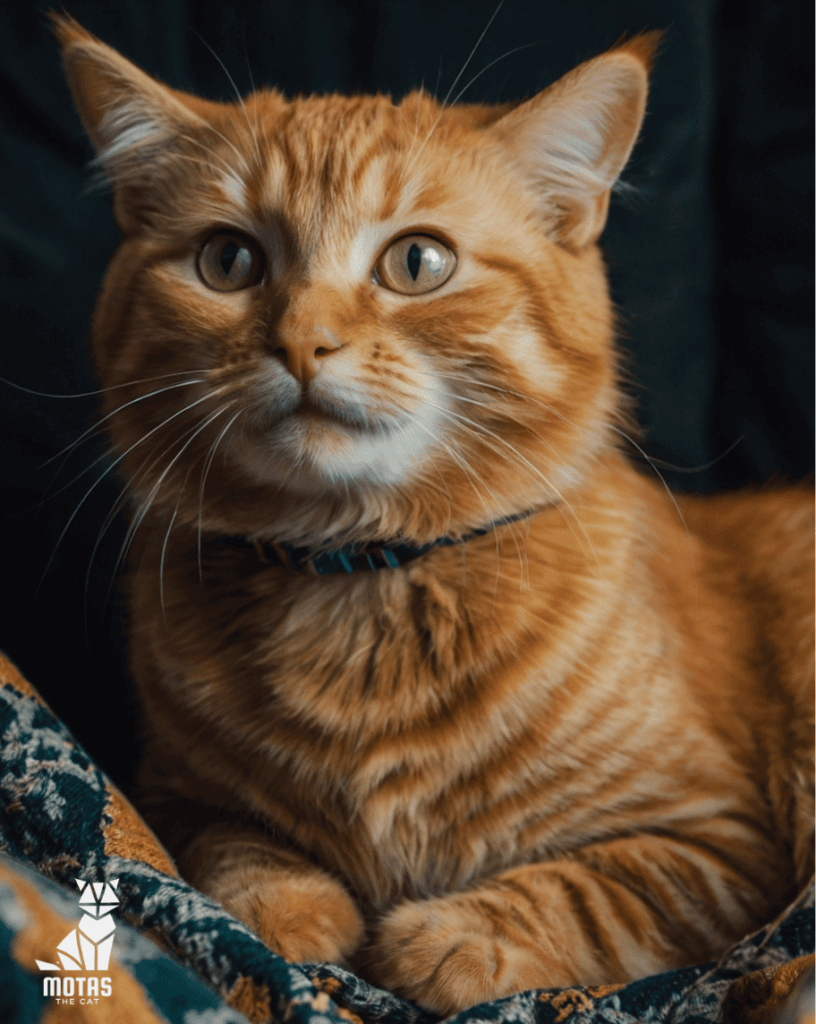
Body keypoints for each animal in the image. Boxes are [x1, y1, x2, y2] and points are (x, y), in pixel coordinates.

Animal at [54, 16, 810, 1015]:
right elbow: (229, 851)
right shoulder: (171, 792)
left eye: (417, 262)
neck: (360, 582)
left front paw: (456, 938)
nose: (303, 341)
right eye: (228, 261)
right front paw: (281, 908)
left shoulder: (720, 842)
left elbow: (590, 889)